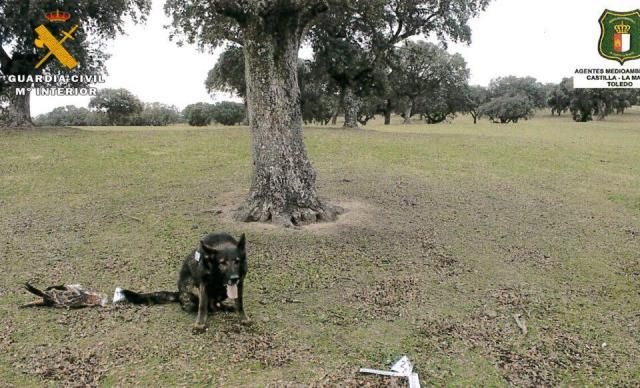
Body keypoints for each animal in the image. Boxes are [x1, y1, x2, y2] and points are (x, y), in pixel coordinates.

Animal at [114, 233, 246, 334]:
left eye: (237, 261)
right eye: (222, 263)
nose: (234, 278)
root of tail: (179, 293)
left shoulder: (239, 283)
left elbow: (239, 303)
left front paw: (244, 319)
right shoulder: (203, 284)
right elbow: (202, 307)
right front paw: (200, 325)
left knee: (215, 304)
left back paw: (226, 307)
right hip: (192, 288)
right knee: (204, 305)